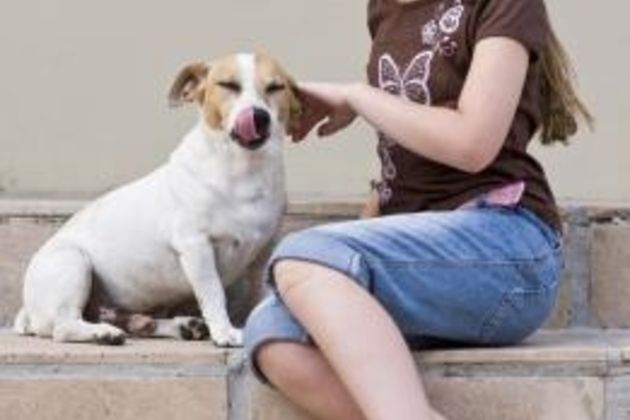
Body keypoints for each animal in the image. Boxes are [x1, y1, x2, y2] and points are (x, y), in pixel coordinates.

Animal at [12, 53, 304, 348]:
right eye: (228, 85)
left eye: (276, 87)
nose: (258, 116)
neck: (244, 170)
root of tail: (28, 310)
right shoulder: (196, 245)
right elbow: (213, 293)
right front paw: (224, 332)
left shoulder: (265, 250)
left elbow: (262, 294)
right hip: (73, 263)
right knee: (63, 327)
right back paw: (103, 333)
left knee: (136, 322)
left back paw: (175, 326)